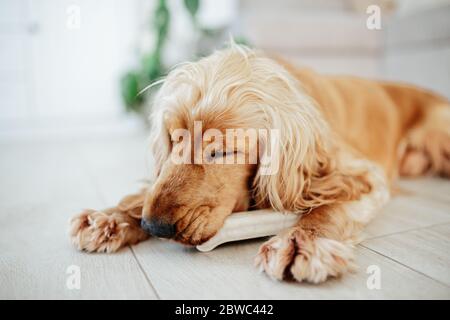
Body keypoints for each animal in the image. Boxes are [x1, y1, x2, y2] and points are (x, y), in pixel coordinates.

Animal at [70, 44, 450, 282]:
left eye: (222, 152)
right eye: (173, 139)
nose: (154, 226)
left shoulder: (357, 172)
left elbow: (328, 207)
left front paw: (301, 242)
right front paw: (112, 217)